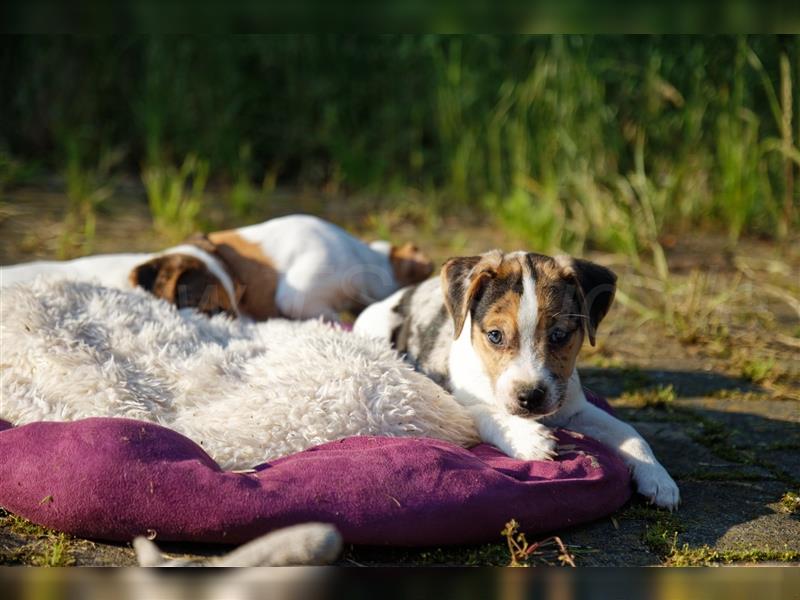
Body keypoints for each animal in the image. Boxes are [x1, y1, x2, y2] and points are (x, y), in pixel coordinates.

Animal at [356, 251, 680, 508]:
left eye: (559, 335)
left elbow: (628, 432)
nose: (530, 397)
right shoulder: (454, 402)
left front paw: (659, 478)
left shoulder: (574, 409)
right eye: (495, 335)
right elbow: (486, 412)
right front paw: (528, 438)